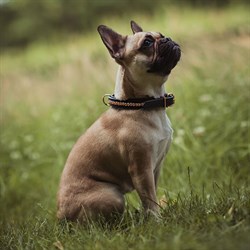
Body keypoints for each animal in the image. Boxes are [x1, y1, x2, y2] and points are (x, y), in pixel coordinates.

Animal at [57, 20, 181, 222]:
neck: (140, 104)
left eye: (161, 35)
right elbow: (149, 198)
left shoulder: (155, 169)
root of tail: (61, 217)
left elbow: (152, 196)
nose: (168, 39)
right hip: (112, 196)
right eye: (147, 43)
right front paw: (156, 221)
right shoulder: (141, 169)